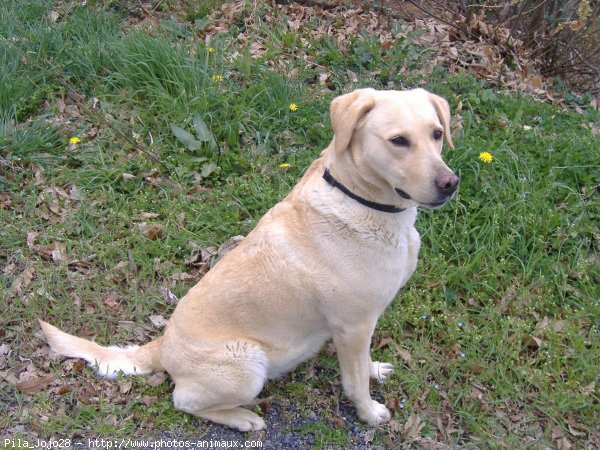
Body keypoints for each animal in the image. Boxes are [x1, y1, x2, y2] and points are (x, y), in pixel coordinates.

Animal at [38, 87, 460, 428]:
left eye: (437, 134)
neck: (363, 200)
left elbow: (363, 365)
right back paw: (242, 418)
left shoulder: (361, 328)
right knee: (183, 402)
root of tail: (162, 345)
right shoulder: (352, 326)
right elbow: (353, 382)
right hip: (248, 365)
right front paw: (369, 413)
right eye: (398, 141)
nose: (450, 183)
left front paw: (374, 371)